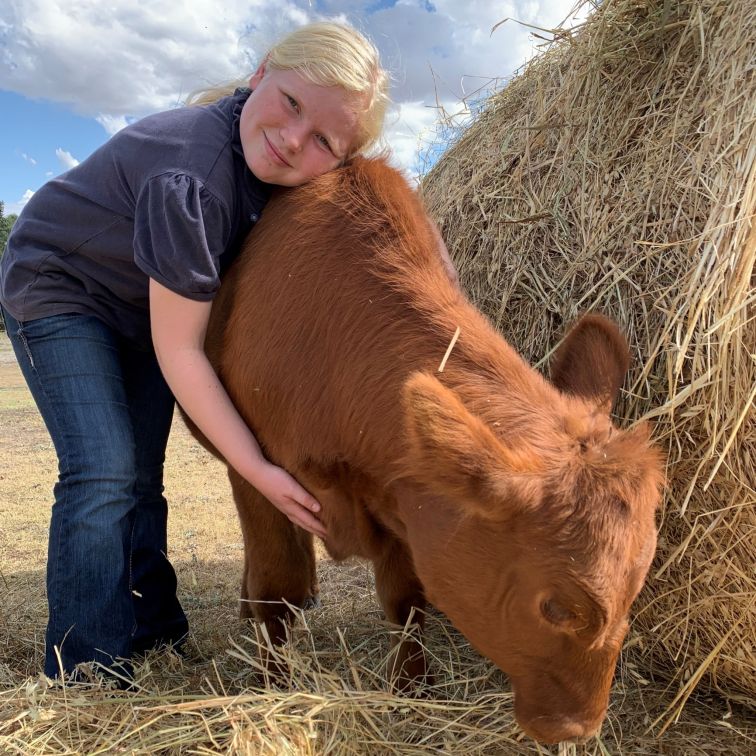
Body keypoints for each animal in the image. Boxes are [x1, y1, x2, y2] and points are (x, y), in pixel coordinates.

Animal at [199, 158, 660, 744]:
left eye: (635, 590)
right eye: (556, 607)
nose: (577, 729)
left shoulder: (405, 493)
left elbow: (407, 599)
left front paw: (413, 688)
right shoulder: (256, 472)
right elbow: (278, 586)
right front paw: (272, 686)